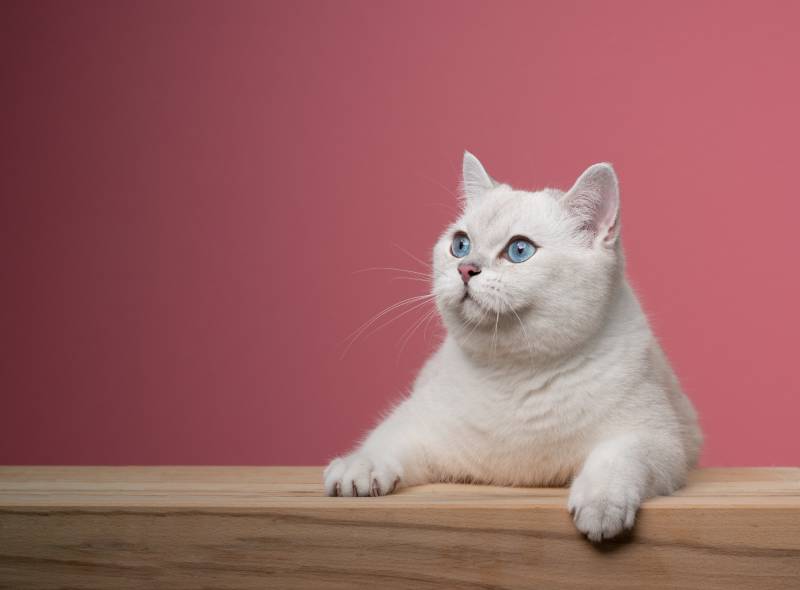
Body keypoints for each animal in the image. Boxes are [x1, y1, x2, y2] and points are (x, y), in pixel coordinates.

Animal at [324, 154, 700, 544]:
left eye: (520, 250)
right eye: (460, 244)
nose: (465, 268)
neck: (514, 372)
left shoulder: (658, 440)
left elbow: (617, 458)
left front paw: (600, 504)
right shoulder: (420, 423)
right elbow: (382, 441)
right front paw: (357, 469)